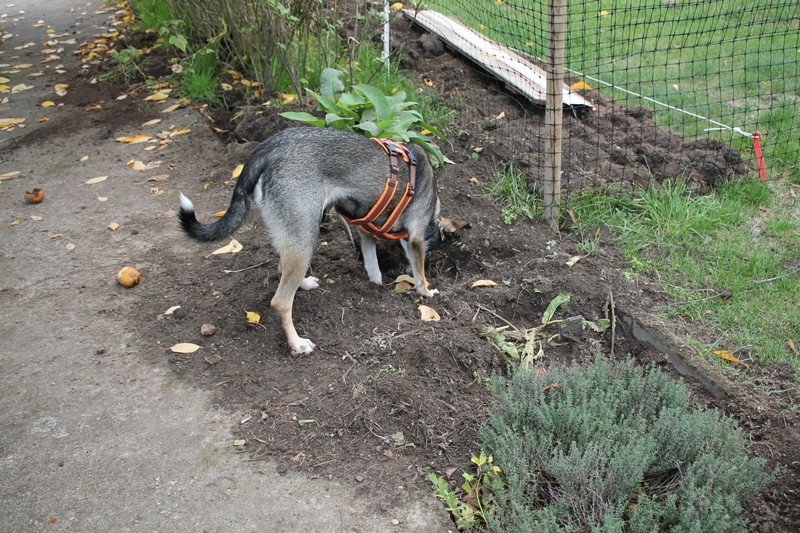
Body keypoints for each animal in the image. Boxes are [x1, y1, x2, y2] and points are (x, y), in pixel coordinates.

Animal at [177, 127, 446, 356]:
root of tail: (268, 148)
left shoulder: (366, 230)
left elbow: (372, 263)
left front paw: (376, 282)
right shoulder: (416, 238)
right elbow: (420, 273)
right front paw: (426, 291)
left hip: (294, 236)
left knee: (282, 268)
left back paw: (304, 284)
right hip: (306, 238)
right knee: (281, 301)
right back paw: (297, 344)